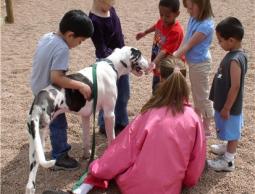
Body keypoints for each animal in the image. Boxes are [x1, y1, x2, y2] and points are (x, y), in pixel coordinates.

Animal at [24, 46, 148, 193]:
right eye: (140, 55)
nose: (150, 64)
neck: (111, 64)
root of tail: (38, 103)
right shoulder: (109, 114)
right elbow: (111, 138)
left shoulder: (86, 116)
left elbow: (86, 140)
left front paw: (87, 155)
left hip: (36, 144)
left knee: (30, 183)